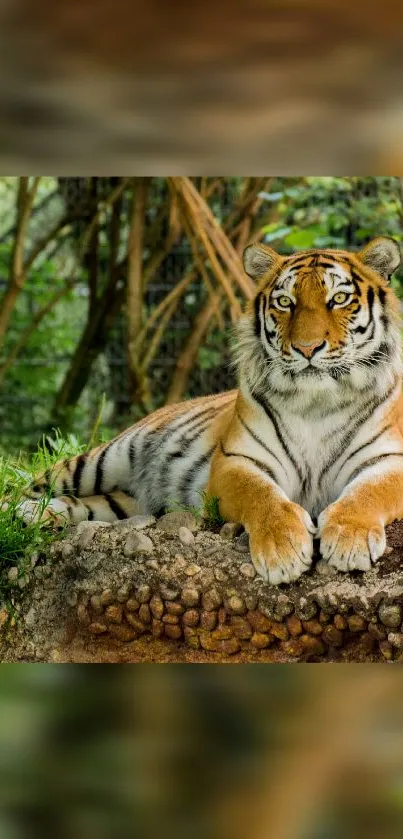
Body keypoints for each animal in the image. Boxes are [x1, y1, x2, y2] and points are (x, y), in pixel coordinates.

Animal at [14, 236, 403, 584]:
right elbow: (263, 498)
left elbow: (366, 493)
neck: (316, 402)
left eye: (339, 299)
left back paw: (38, 514)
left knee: (80, 505)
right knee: (29, 487)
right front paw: (284, 551)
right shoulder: (237, 461)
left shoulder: (389, 460)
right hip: (101, 459)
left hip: (124, 503)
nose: (307, 348)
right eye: (284, 302)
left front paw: (350, 539)